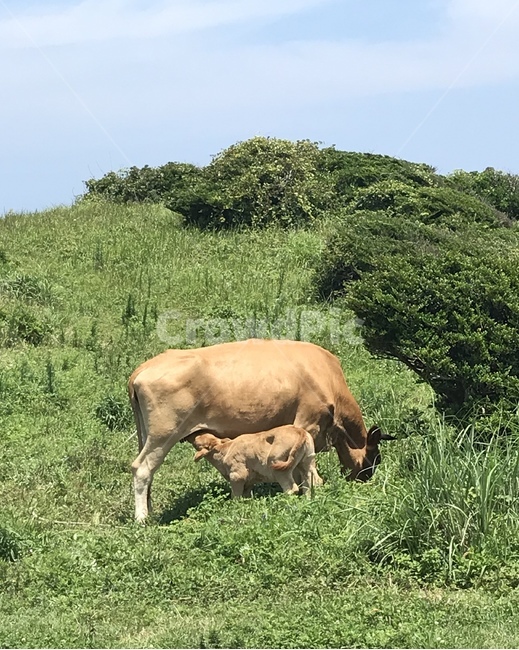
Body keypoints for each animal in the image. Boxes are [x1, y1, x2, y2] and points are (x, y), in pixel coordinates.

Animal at [186, 425, 323, 498]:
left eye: (198, 440)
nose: (191, 433)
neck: (225, 450)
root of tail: (299, 431)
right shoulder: (249, 480)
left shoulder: (237, 475)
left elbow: (236, 496)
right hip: (307, 461)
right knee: (314, 481)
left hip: (279, 466)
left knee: (291, 488)